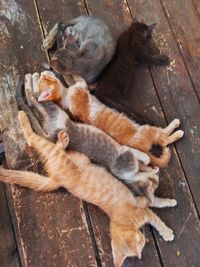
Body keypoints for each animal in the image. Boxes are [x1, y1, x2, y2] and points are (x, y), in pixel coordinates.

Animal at [0, 111, 175, 267]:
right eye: (140, 243)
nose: (144, 241)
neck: (123, 221)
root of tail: (57, 179)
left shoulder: (141, 203)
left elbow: (155, 205)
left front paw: (166, 203)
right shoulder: (143, 207)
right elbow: (155, 209)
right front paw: (167, 231)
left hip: (78, 157)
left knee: (43, 143)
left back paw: (60, 138)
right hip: (64, 156)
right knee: (32, 140)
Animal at [35, 71, 184, 168]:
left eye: (43, 77)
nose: (43, 72)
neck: (64, 97)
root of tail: (142, 146)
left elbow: (75, 79)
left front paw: (67, 74)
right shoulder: (80, 87)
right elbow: (80, 79)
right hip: (147, 129)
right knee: (163, 138)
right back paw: (177, 128)